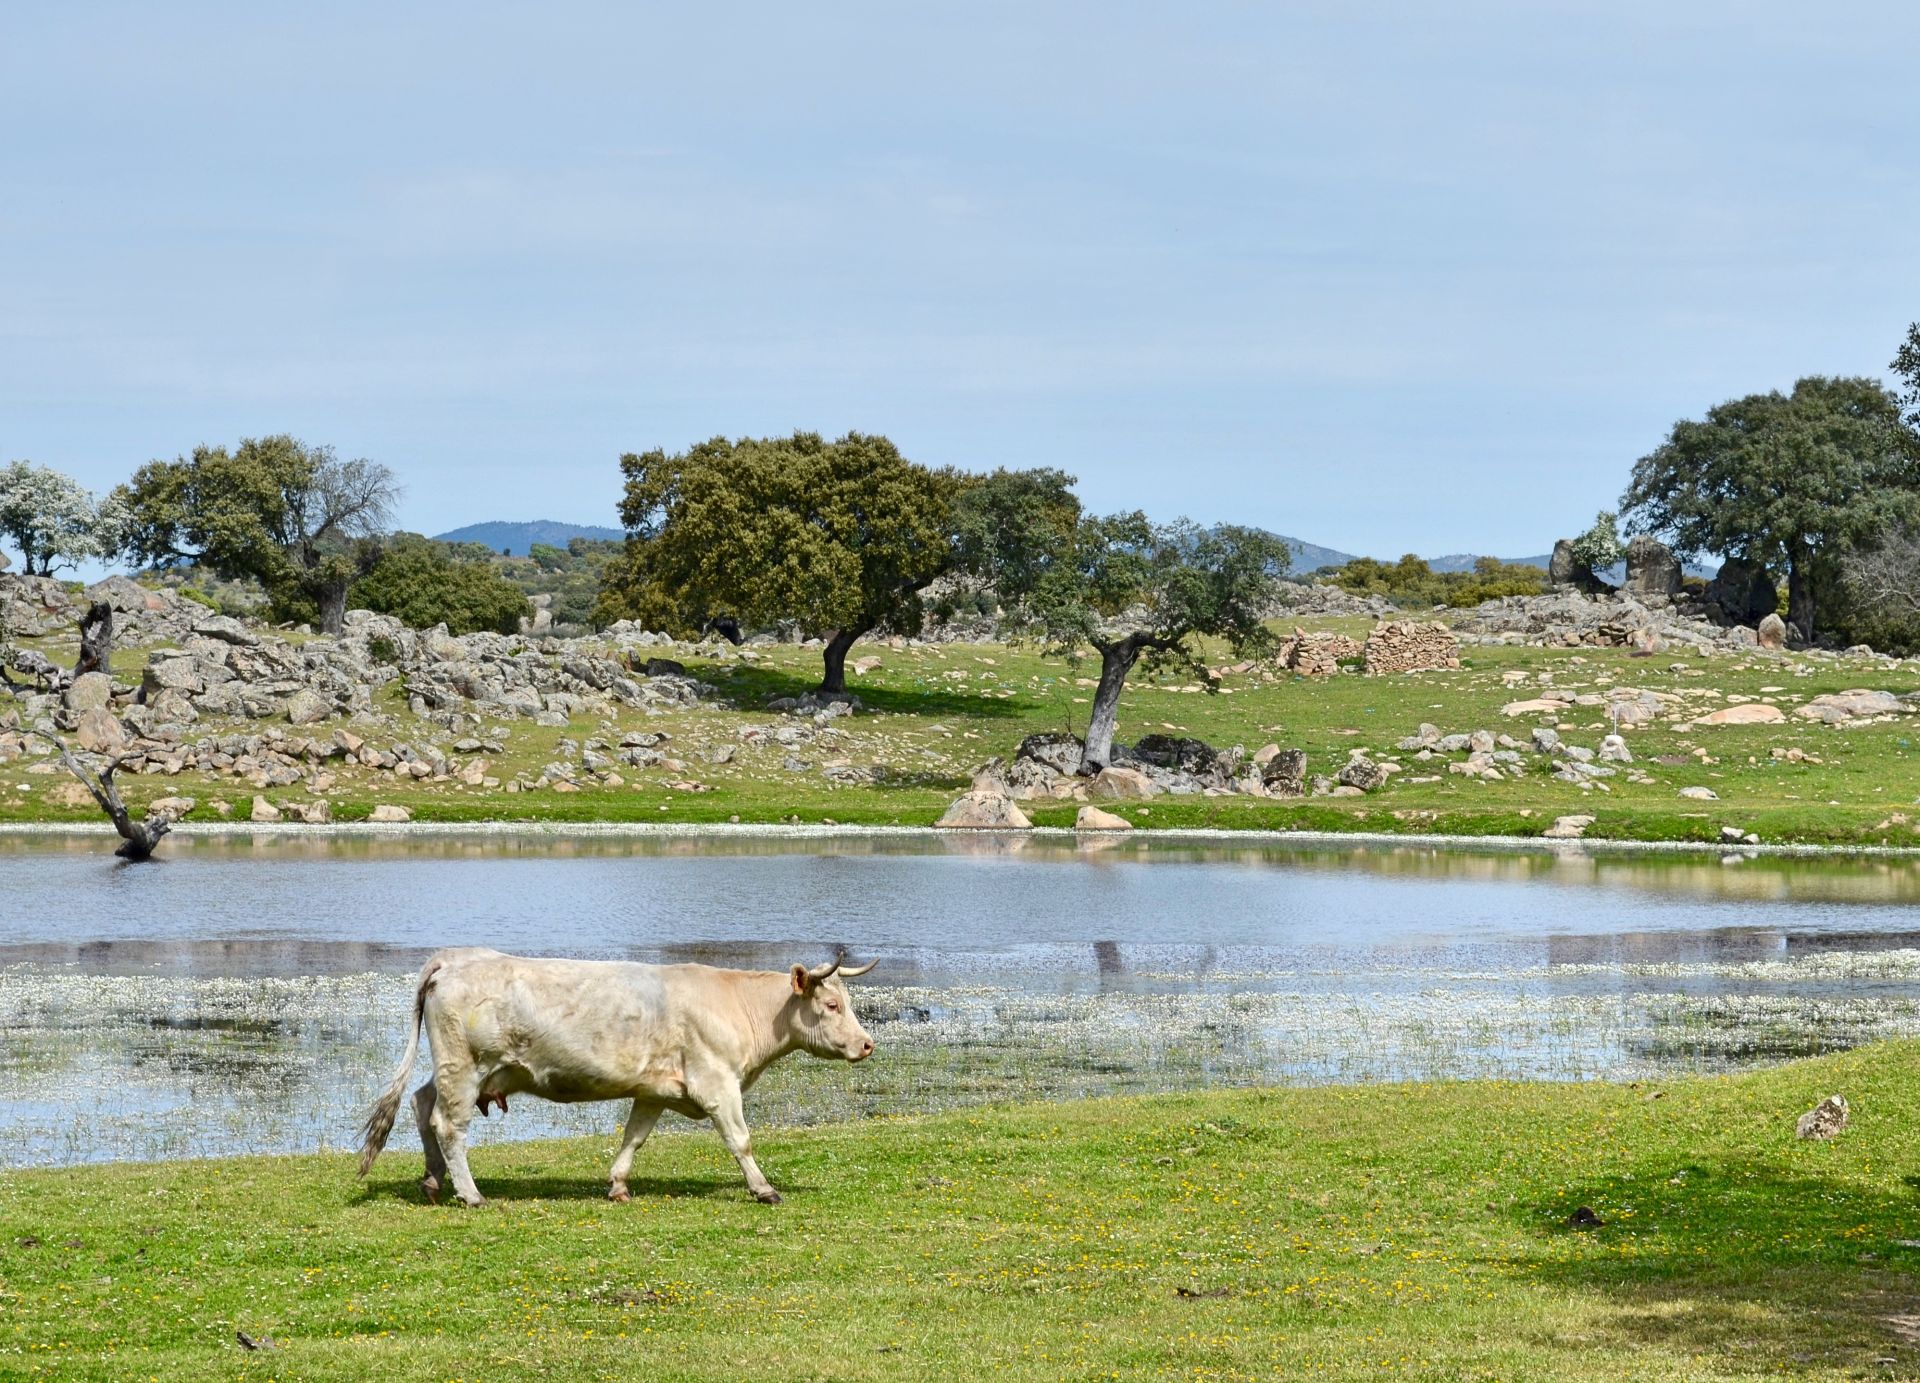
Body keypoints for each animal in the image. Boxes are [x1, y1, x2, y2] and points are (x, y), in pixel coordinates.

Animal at [357, 945, 875, 1206]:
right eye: (832, 1005)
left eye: (846, 1001)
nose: (867, 1044)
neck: (736, 1005)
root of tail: (453, 957)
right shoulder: (718, 1084)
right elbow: (740, 1140)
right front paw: (764, 1189)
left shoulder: (654, 1090)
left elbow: (634, 1137)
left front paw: (618, 1185)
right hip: (465, 1066)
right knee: (448, 1125)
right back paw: (470, 1194)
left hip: (456, 1070)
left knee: (423, 1105)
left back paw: (432, 1182)